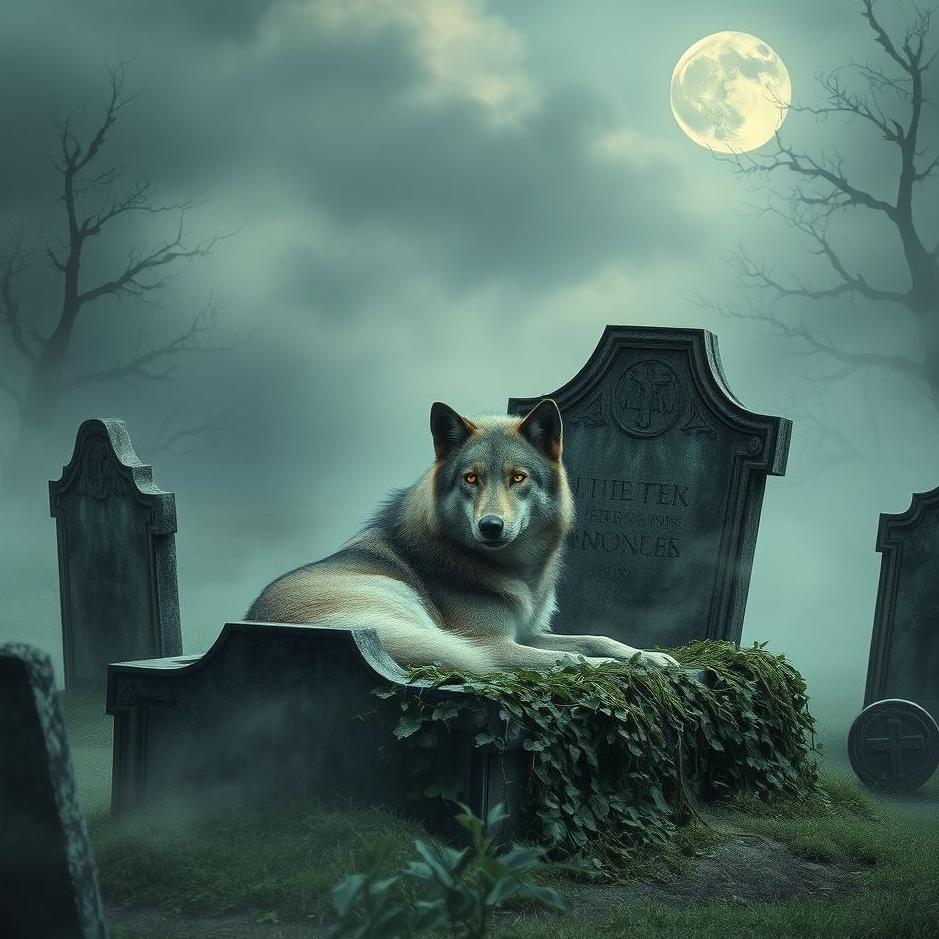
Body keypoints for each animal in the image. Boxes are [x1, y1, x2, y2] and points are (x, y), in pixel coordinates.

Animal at [246, 399, 679, 675]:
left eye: (517, 477)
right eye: (471, 478)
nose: (491, 526)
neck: (518, 572)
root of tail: (253, 620)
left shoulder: (527, 632)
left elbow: (596, 638)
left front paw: (649, 657)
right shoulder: (495, 641)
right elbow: (576, 656)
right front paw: (623, 665)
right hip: (402, 602)